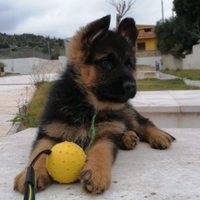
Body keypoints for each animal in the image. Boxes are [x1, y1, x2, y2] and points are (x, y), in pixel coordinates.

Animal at [13, 15, 175, 195]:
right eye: (105, 62)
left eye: (129, 64)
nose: (132, 87)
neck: (87, 105)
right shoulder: (49, 132)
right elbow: (39, 152)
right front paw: (31, 174)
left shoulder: (105, 137)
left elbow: (101, 152)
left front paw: (96, 173)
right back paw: (128, 138)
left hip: (126, 112)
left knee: (142, 122)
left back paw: (158, 136)